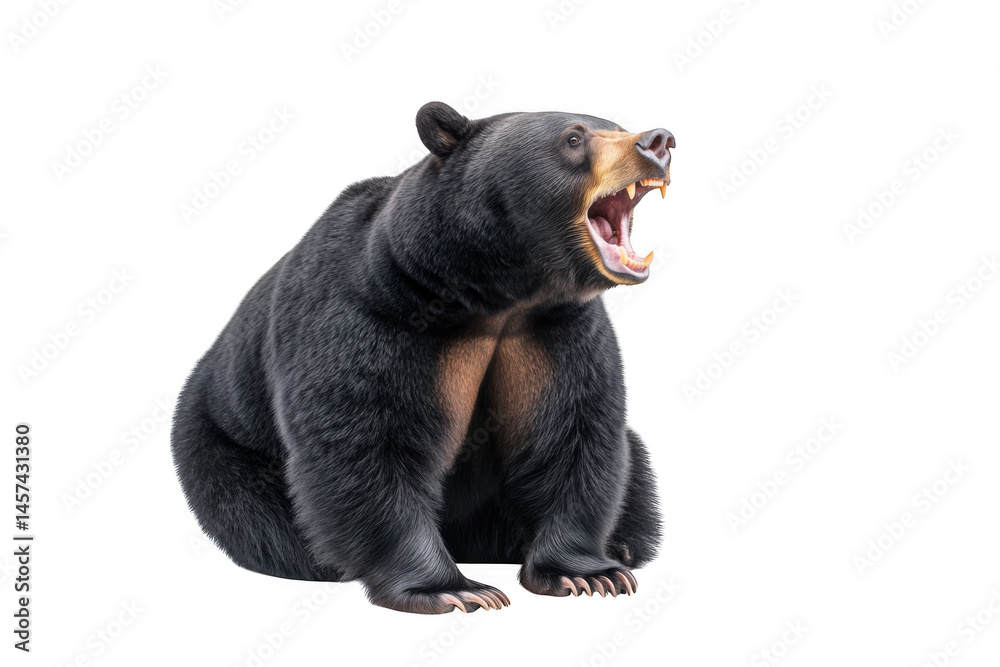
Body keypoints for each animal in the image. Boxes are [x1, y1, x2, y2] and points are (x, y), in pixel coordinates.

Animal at [170, 101, 674, 614]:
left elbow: (571, 433)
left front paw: (586, 573)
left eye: (617, 125)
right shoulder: (375, 316)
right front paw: (450, 588)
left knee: (636, 476)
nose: (658, 142)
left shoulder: (555, 332)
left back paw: (622, 545)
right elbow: (369, 441)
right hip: (223, 446)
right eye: (574, 138)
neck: (498, 296)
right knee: (261, 515)